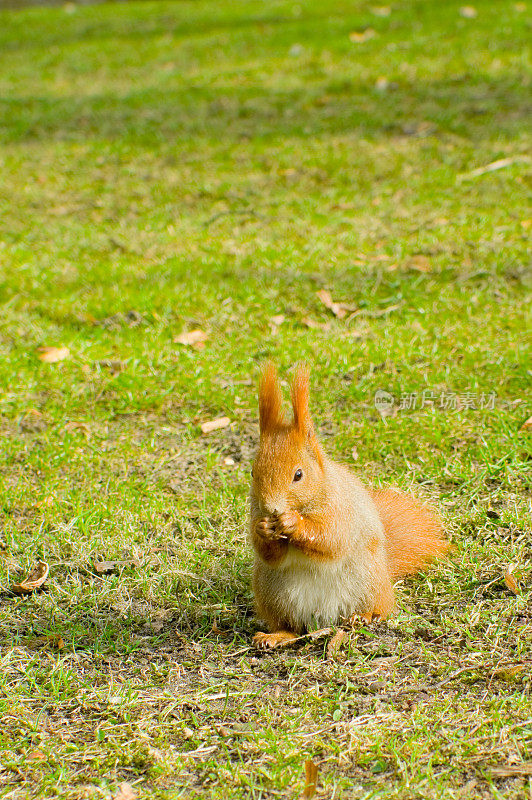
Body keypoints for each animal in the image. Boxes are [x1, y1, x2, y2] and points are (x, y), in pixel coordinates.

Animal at [249, 362, 448, 648]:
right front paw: (263, 528)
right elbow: (269, 554)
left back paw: (363, 616)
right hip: (272, 594)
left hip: (367, 582)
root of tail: (324, 617)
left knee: (379, 608)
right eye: (253, 472)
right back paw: (275, 636)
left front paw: (293, 523)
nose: (271, 508)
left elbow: (330, 539)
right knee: (291, 627)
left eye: (298, 474)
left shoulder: (341, 510)